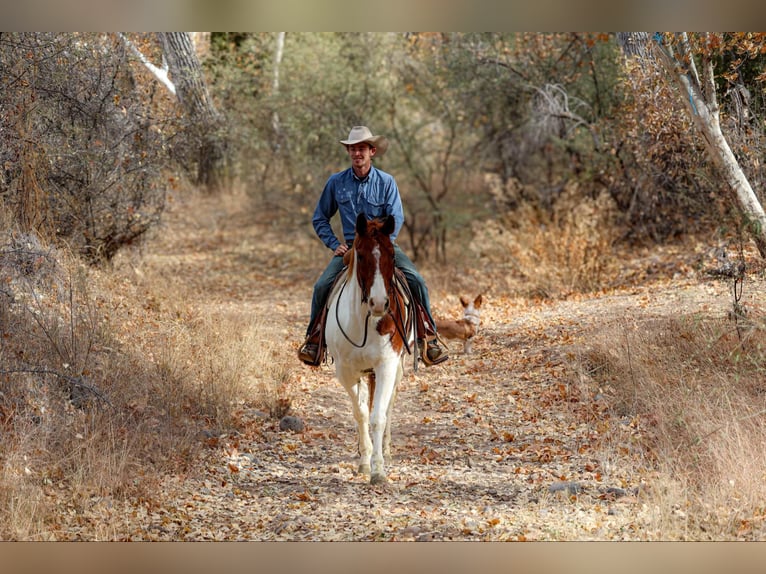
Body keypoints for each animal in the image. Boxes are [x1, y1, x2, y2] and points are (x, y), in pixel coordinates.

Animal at [328, 213, 416, 486]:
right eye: (362, 254)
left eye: (392, 254)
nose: (379, 303)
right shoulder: (346, 372)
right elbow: (361, 414)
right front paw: (364, 462)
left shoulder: (386, 365)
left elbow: (378, 416)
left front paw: (378, 470)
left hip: (396, 369)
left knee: (388, 406)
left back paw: (385, 450)